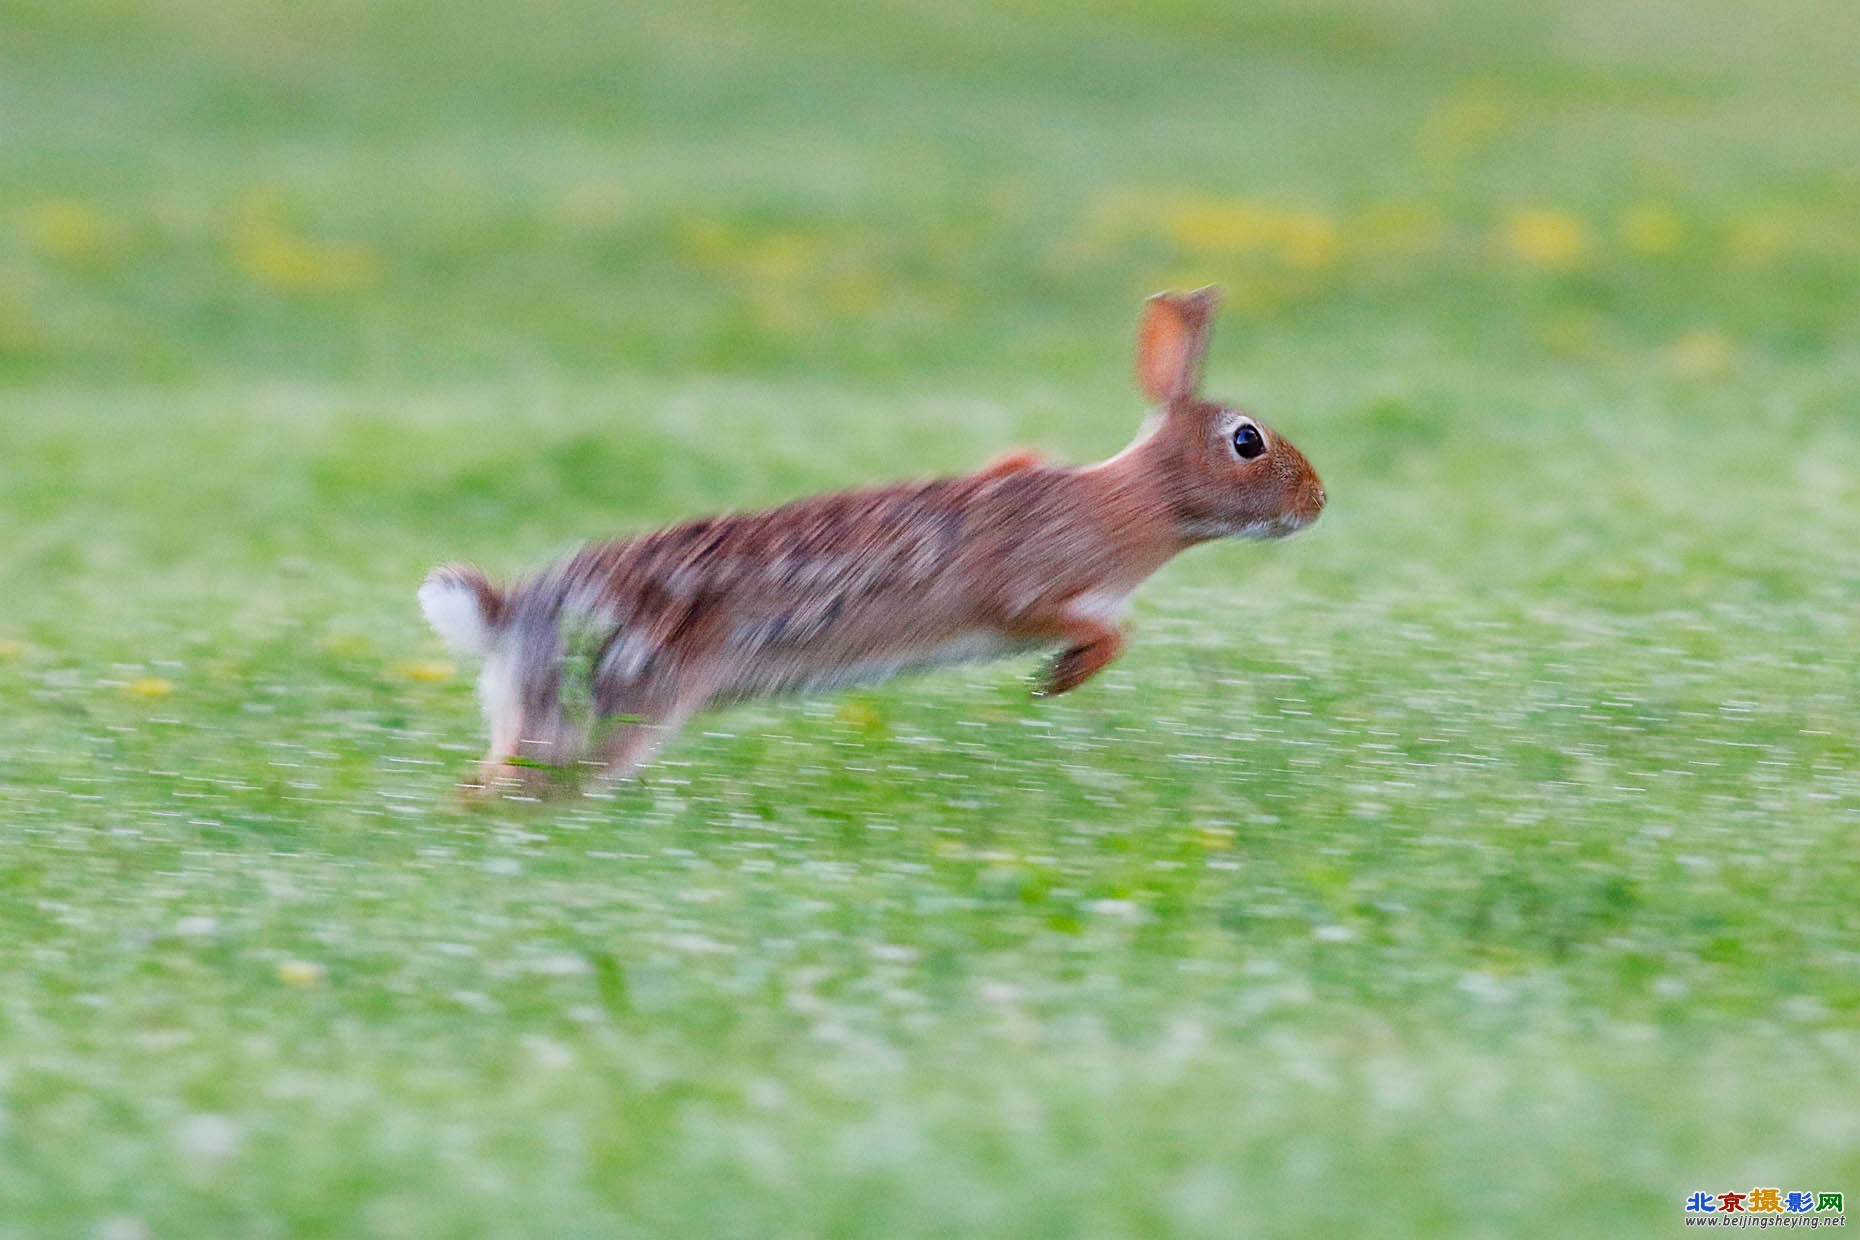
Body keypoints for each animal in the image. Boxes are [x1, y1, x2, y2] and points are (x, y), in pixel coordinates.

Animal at [418, 288, 1324, 795]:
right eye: (1248, 441)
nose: (1318, 500)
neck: (1138, 500)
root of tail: (510, 616)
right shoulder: (1026, 591)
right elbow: (1102, 627)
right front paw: (1063, 677)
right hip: (625, 701)